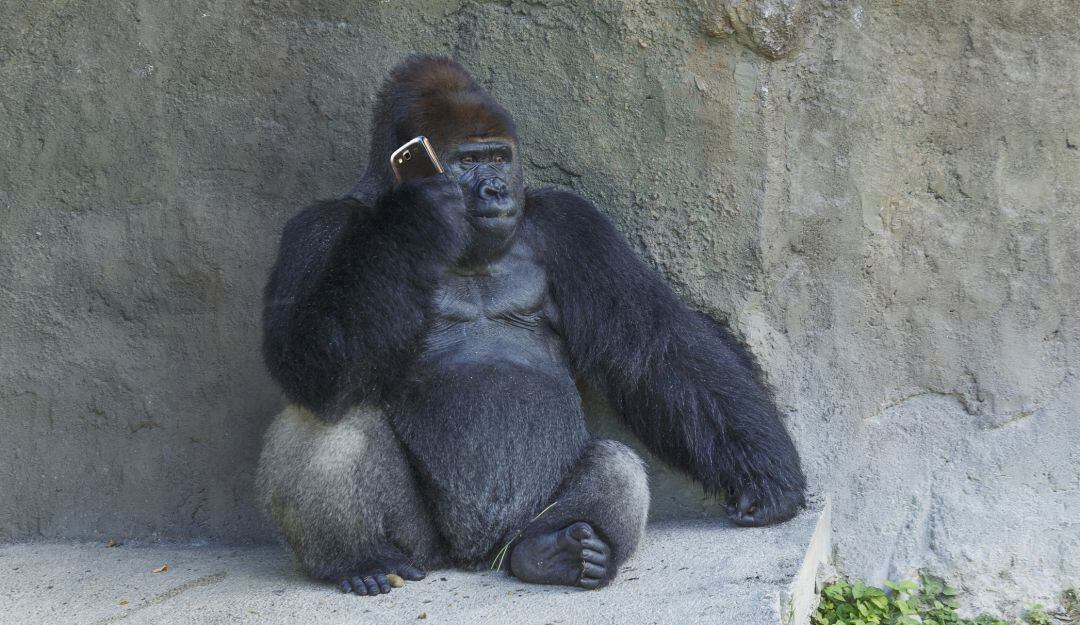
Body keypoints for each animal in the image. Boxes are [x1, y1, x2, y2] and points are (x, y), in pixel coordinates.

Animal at [256, 56, 805, 595]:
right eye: (467, 161)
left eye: (499, 158)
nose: (496, 189)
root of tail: (476, 558)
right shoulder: (314, 229)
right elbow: (302, 362)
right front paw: (412, 218)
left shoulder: (573, 224)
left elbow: (656, 350)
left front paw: (766, 475)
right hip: (422, 548)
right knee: (332, 417)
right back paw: (361, 560)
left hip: (523, 524)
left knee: (613, 464)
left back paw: (554, 552)